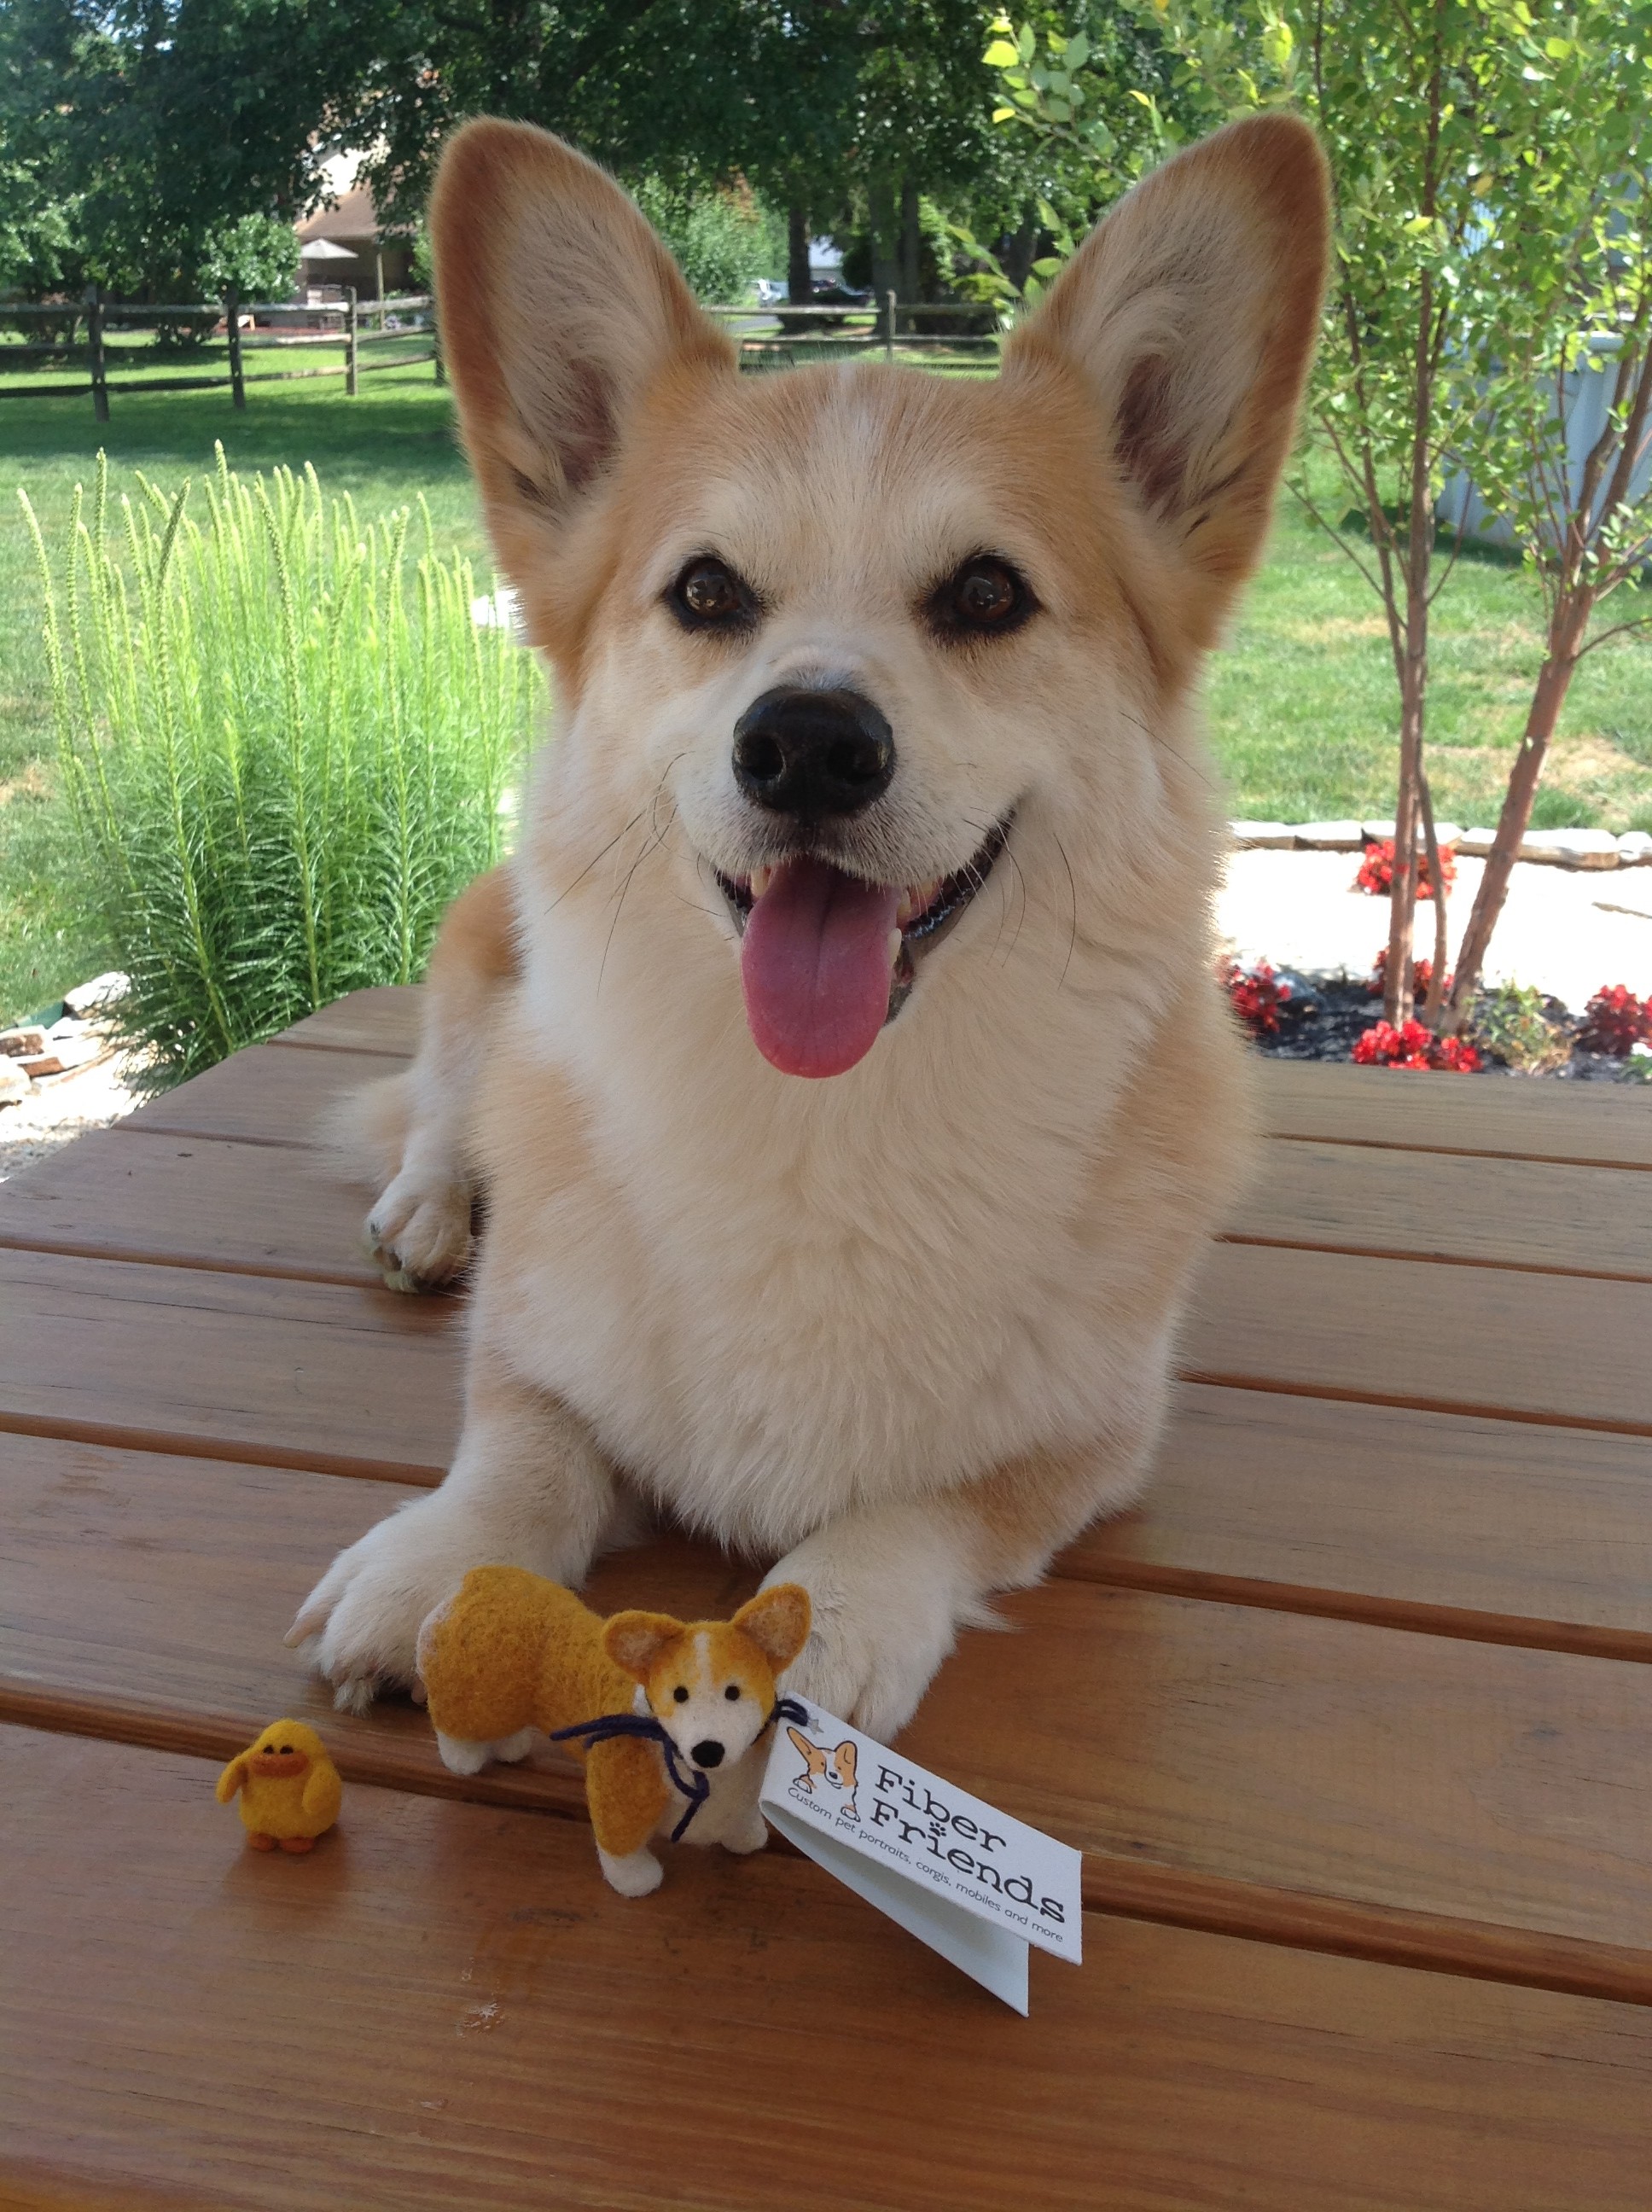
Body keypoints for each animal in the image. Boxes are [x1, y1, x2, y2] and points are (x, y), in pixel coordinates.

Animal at [290, 112, 1329, 1738]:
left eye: (988, 594)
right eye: (707, 591)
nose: (809, 746)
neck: (819, 1126)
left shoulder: (1092, 1438)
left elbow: (920, 1510)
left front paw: (819, 1619)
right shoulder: (530, 1360)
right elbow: (520, 1449)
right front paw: (438, 1569)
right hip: (481, 957)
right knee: (445, 1104)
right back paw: (427, 1206)